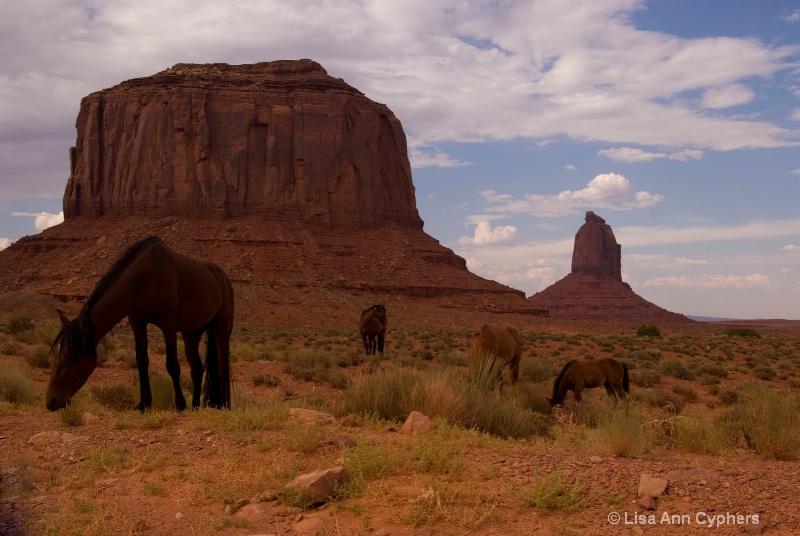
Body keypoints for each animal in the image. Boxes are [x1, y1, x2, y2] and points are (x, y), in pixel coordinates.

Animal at [45, 237, 234, 412]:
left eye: (71, 357)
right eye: (54, 353)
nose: (51, 401)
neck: (144, 276)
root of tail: (223, 276)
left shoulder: (168, 324)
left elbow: (172, 365)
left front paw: (180, 404)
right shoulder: (137, 323)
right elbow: (142, 362)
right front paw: (143, 403)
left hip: (221, 330)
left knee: (222, 367)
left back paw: (223, 405)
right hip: (191, 333)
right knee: (197, 368)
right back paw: (195, 406)